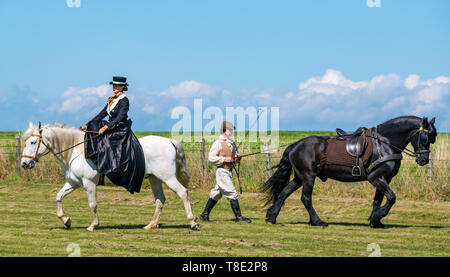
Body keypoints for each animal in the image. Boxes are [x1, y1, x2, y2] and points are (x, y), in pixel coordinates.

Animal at [19, 122, 199, 230]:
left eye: (33, 143)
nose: (24, 164)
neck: (76, 151)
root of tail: (169, 141)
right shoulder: (73, 182)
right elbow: (58, 197)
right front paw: (66, 220)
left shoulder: (89, 184)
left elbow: (92, 204)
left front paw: (93, 225)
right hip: (155, 179)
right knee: (160, 199)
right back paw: (151, 225)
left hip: (168, 178)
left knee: (183, 193)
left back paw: (193, 222)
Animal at [264, 115, 436, 227]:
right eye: (425, 138)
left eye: (433, 139)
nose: (423, 160)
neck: (384, 143)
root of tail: (295, 145)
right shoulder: (376, 177)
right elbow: (392, 198)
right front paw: (377, 216)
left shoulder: (384, 178)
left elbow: (378, 200)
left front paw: (375, 221)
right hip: (308, 177)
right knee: (306, 198)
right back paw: (317, 221)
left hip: (300, 177)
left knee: (284, 193)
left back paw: (272, 217)